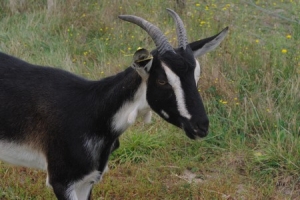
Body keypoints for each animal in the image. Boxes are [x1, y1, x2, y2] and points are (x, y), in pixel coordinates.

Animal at [0, 8, 227, 199]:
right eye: (162, 81)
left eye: (196, 76)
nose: (200, 126)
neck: (91, 109)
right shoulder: (62, 180)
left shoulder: (87, 180)